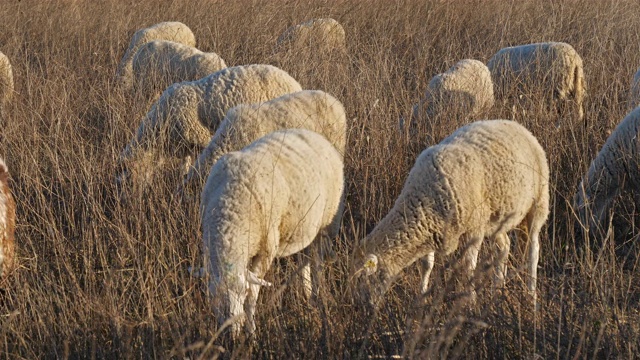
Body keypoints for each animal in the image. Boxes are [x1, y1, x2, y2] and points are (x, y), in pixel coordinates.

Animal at [202, 129, 344, 338]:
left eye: (241, 292)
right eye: (214, 296)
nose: (231, 331)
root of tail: (308, 132)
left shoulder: (265, 250)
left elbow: (253, 294)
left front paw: (251, 333)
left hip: (326, 223)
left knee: (317, 261)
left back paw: (318, 296)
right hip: (303, 226)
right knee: (305, 259)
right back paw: (306, 292)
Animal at [352, 119, 548, 308]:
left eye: (366, 278)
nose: (361, 308)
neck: (423, 194)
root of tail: (516, 125)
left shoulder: (474, 229)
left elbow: (469, 266)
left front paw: (470, 303)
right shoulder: (431, 228)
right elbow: (426, 265)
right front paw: (421, 299)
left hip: (538, 204)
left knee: (533, 250)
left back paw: (531, 296)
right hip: (496, 220)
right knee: (504, 247)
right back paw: (497, 292)